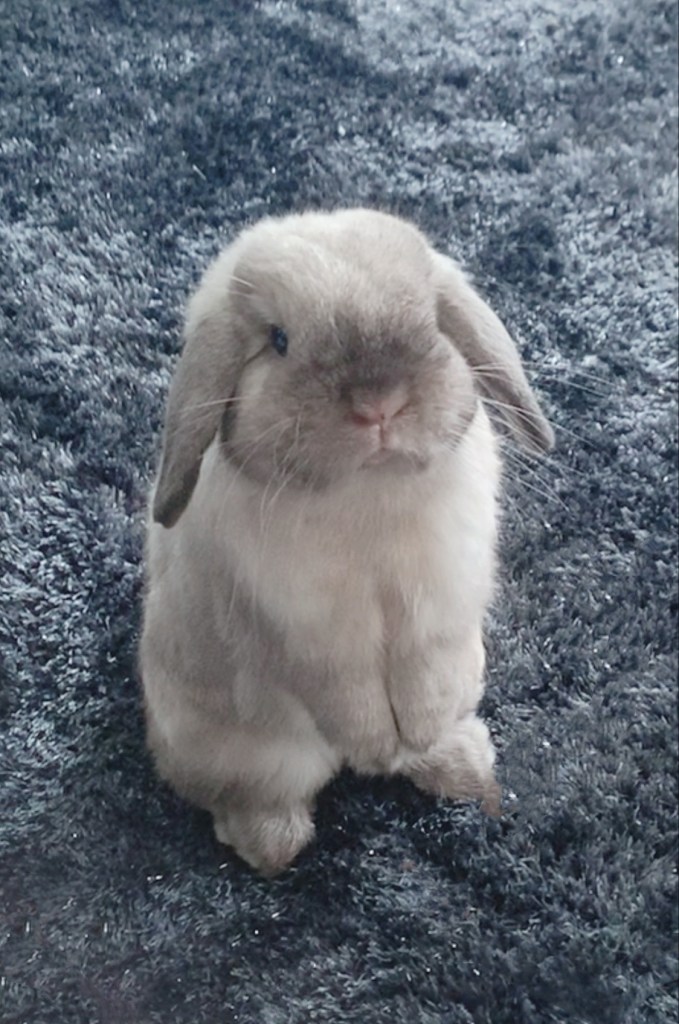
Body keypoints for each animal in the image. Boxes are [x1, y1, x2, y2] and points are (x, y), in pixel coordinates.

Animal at [140, 208, 554, 876]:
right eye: (279, 340)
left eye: (431, 317)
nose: (378, 404)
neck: (368, 493)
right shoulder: (311, 641)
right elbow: (350, 695)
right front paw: (377, 746)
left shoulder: (441, 615)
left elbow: (426, 681)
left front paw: (409, 738)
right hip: (258, 758)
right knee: (253, 799)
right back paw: (272, 845)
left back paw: (466, 770)